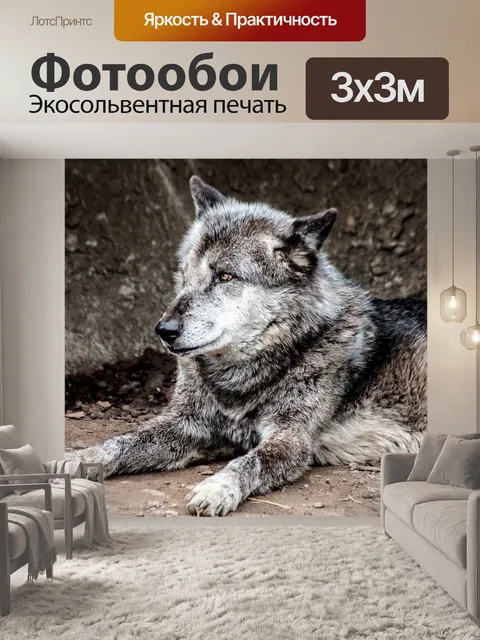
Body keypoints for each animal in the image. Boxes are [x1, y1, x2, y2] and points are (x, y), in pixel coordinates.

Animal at [73, 176, 427, 516]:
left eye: (225, 276)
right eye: (184, 275)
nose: (164, 330)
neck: (239, 381)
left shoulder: (290, 439)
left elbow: (248, 462)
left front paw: (217, 488)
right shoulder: (187, 424)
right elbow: (123, 440)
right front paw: (78, 459)